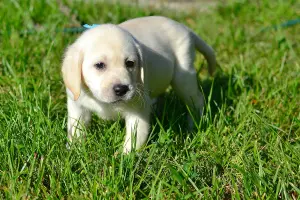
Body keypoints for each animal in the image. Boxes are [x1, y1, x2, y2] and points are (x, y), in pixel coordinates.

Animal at [62, 16, 216, 153]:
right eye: (99, 65)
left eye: (130, 63)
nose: (122, 89)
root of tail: (185, 28)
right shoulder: (78, 106)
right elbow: (76, 130)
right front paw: (74, 150)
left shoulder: (137, 110)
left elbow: (135, 138)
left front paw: (125, 158)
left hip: (183, 77)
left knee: (197, 100)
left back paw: (194, 125)